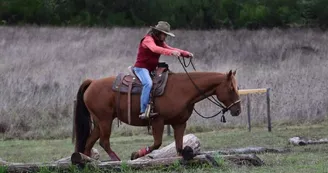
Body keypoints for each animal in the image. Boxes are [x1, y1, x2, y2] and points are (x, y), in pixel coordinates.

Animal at [72, 66, 241, 161]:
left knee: (89, 142)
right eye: (231, 88)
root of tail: (92, 82)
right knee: (104, 142)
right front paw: (136, 155)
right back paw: (116, 160)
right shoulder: (157, 121)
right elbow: (157, 143)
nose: (238, 110)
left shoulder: (179, 123)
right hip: (105, 120)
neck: (183, 89)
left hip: (98, 122)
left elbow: (179, 147)